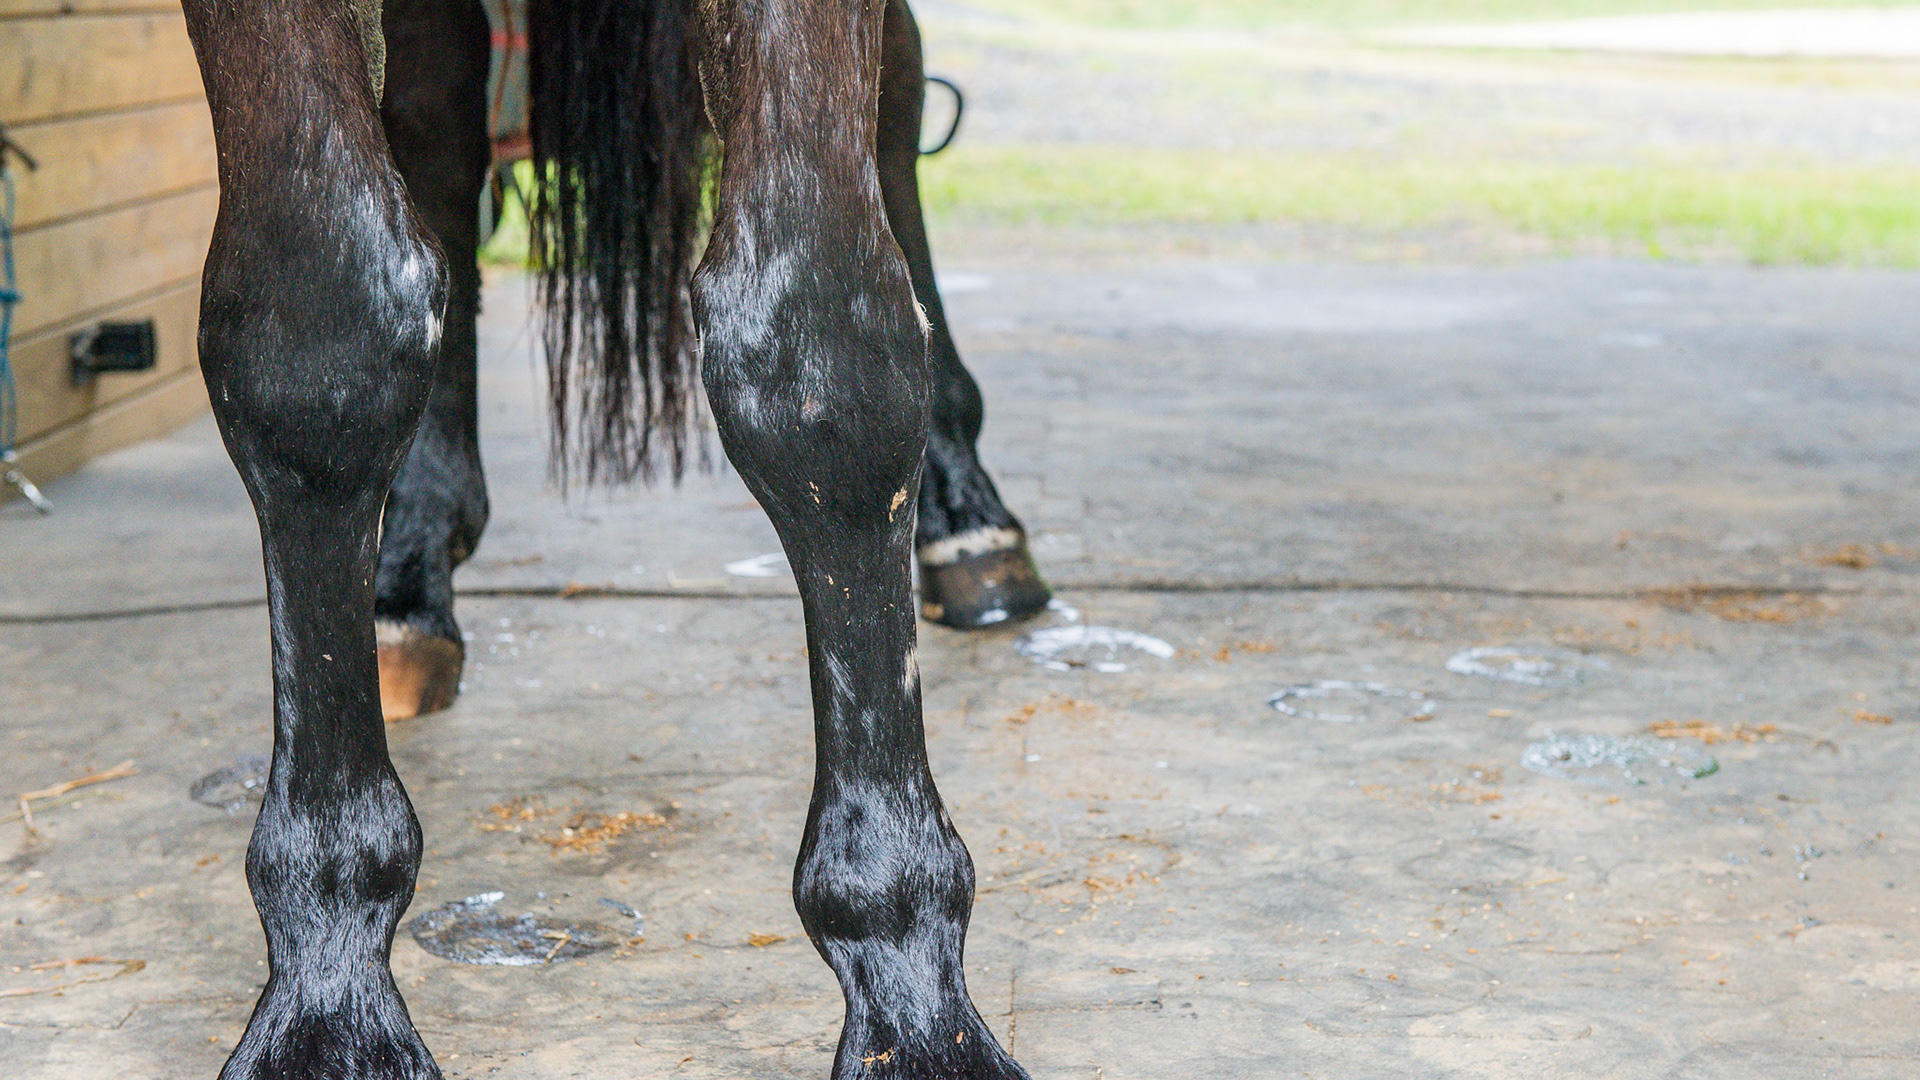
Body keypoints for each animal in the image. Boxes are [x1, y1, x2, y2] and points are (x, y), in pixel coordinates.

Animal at [179, 0, 1048, 1075]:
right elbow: (317, 339)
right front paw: (328, 1008)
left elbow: (823, 351)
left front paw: (914, 1007)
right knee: (436, 133)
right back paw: (407, 581)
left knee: (899, 100)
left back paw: (970, 524)